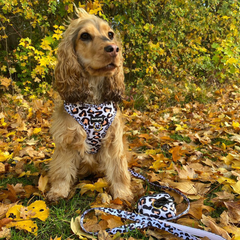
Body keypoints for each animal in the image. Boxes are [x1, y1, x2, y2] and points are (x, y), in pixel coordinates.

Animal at [47, 8, 133, 202]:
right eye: (85, 36)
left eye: (110, 34)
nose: (114, 49)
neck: (93, 102)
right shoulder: (66, 139)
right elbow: (61, 170)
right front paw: (58, 191)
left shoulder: (114, 140)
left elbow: (119, 171)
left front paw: (122, 194)